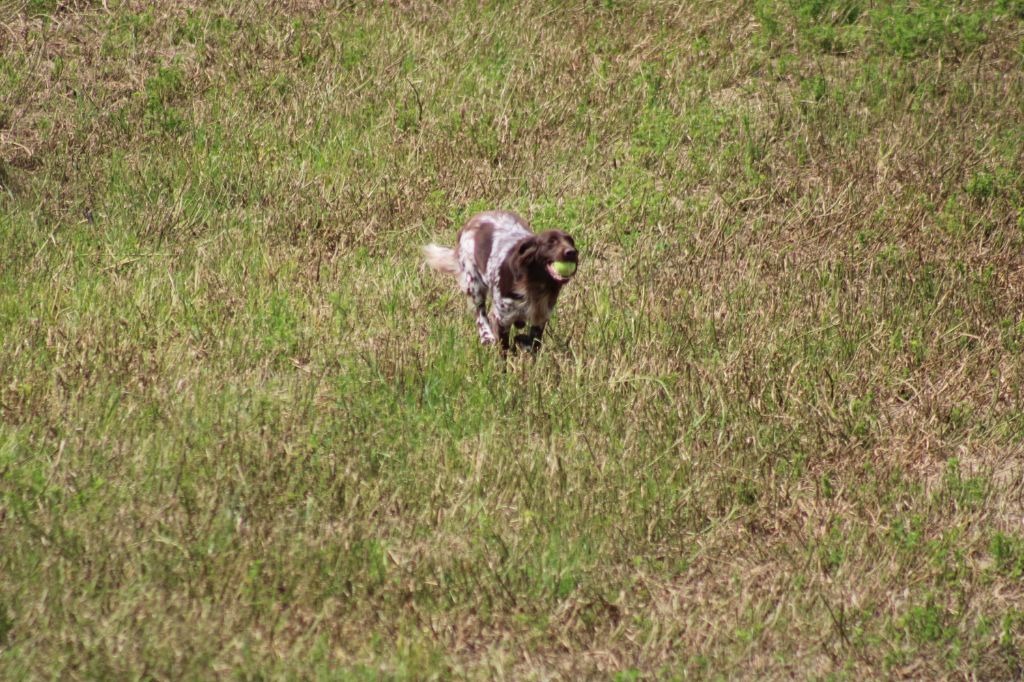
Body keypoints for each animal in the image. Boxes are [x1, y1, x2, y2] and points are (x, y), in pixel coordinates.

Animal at [423, 209, 581, 350]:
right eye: (551, 242)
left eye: (571, 242)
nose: (572, 252)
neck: (534, 282)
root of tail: (470, 223)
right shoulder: (501, 319)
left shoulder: (540, 318)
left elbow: (532, 343)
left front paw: (523, 344)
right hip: (474, 285)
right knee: (480, 314)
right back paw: (486, 336)